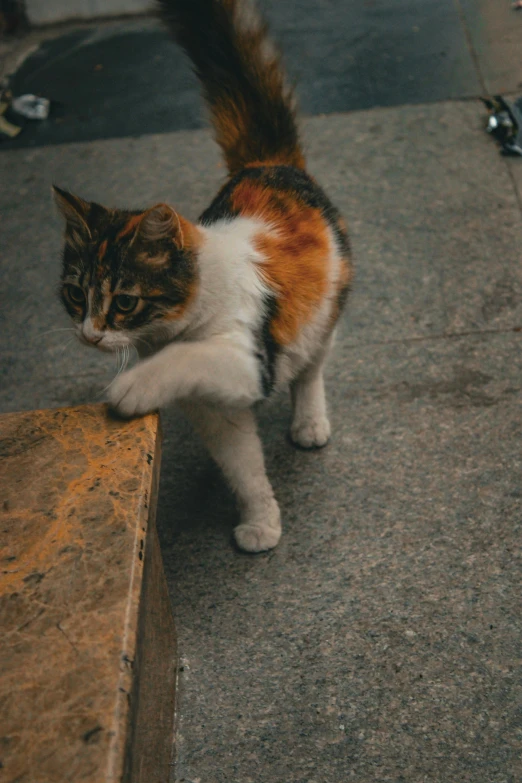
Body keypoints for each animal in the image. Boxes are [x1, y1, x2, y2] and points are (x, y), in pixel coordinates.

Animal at [54, 0, 352, 556]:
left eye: (124, 302)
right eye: (75, 295)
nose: (90, 334)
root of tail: (268, 164)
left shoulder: (248, 360)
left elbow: (187, 359)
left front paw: (131, 387)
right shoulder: (217, 411)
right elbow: (244, 469)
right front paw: (262, 522)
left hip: (326, 312)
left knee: (311, 367)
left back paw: (309, 422)